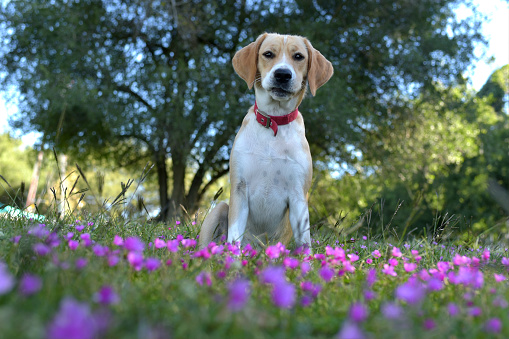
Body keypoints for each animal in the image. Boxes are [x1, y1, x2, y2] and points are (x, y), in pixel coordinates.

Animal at [198, 32, 334, 250]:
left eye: (298, 56)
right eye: (268, 54)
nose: (282, 74)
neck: (274, 123)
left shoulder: (298, 195)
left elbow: (305, 242)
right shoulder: (240, 188)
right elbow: (234, 236)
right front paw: (233, 260)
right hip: (219, 209)